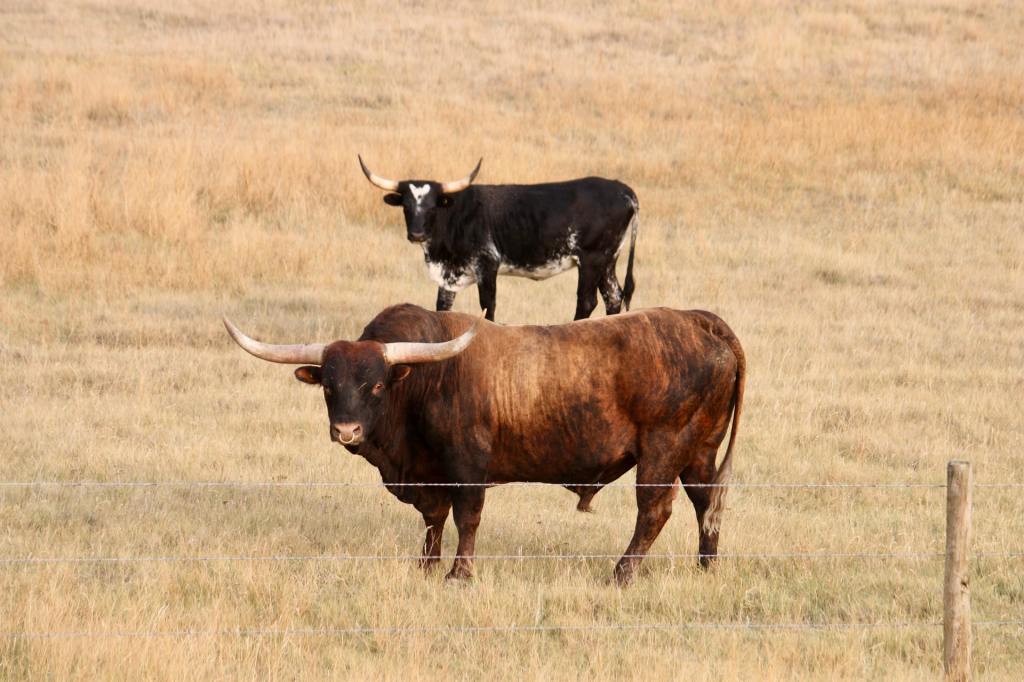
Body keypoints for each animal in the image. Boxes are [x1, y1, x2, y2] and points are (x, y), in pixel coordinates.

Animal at [223, 303, 745, 585]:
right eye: (329, 386)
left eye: (376, 385)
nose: (346, 431)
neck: (426, 381)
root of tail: (698, 321)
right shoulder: (430, 475)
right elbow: (433, 520)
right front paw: (426, 566)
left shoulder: (467, 468)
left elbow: (466, 518)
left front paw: (458, 574)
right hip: (699, 451)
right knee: (707, 503)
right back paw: (706, 566)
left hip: (663, 450)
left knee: (654, 510)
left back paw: (621, 573)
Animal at [358, 157, 640, 323]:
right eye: (406, 206)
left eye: (432, 206)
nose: (416, 234)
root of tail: (622, 189)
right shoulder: (450, 276)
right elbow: (442, 307)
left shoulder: (487, 265)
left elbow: (487, 307)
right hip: (607, 260)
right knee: (614, 296)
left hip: (592, 259)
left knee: (587, 300)